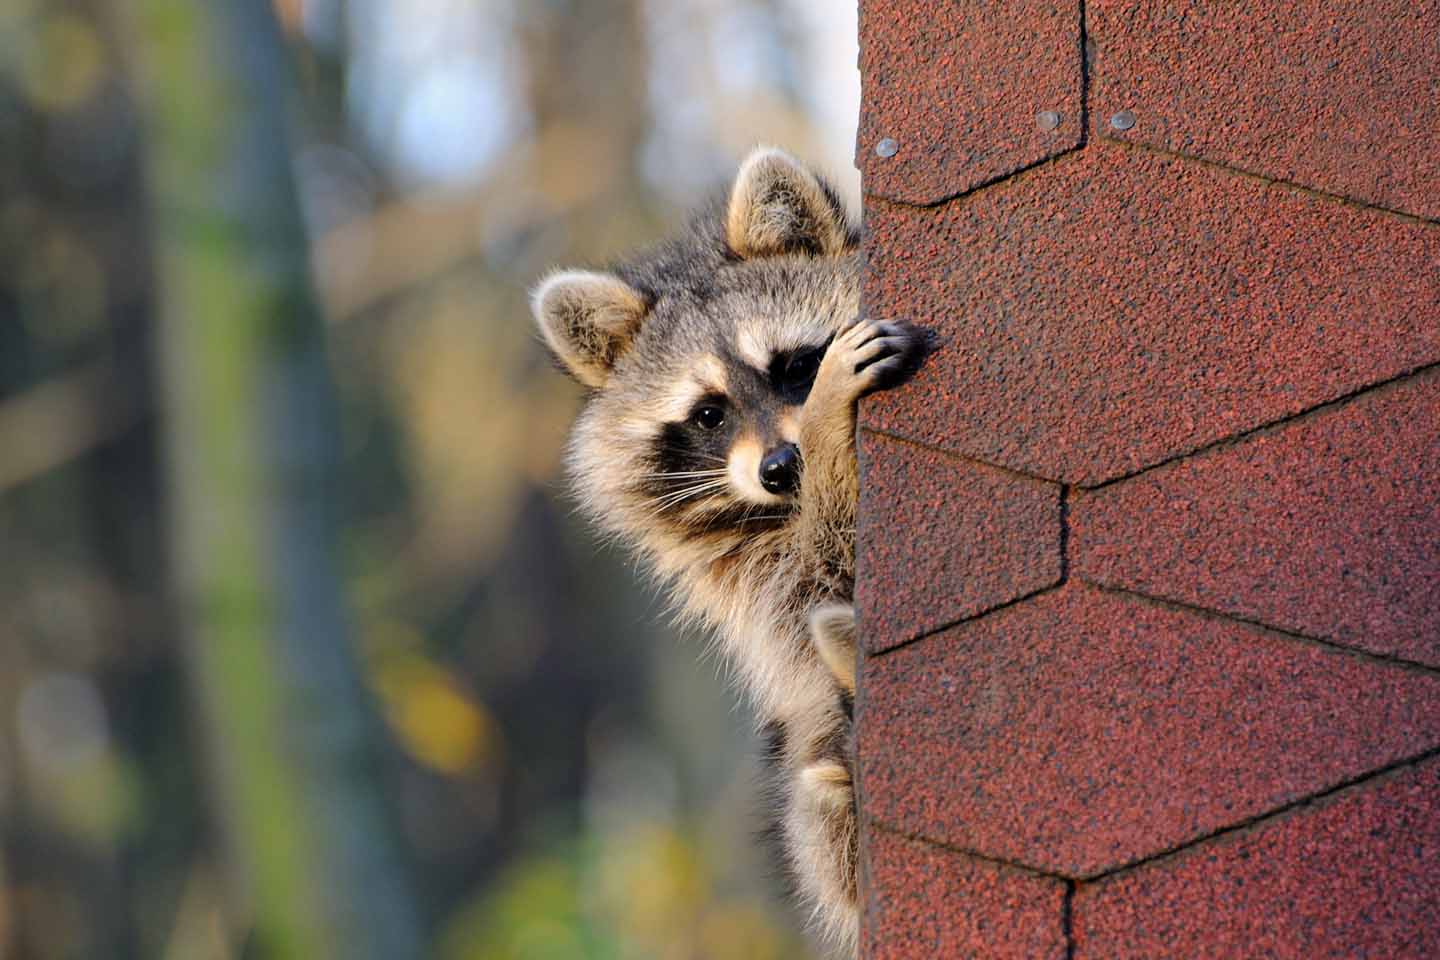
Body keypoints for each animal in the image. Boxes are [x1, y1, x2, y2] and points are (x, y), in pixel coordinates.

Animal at [529, 146, 921, 949]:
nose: (784, 466)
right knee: (817, 805)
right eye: (709, 414)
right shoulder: (743, 579)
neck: (782, 508)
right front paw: (832, 432)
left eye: (794, 367)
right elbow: (817, 578)